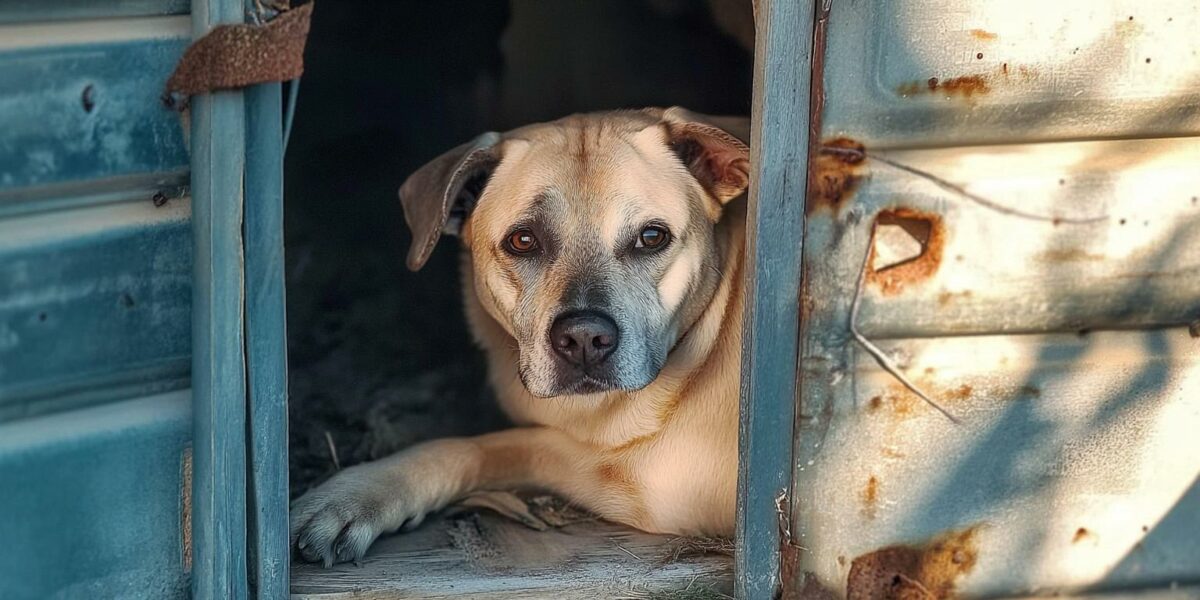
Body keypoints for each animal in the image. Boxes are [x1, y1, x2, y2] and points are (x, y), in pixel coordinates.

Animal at [290, 106, 748, 566]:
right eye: (523, 240)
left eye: (652, 237)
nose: (584, 339)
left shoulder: (662, 484)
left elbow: (486, 444)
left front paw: (353, 494)